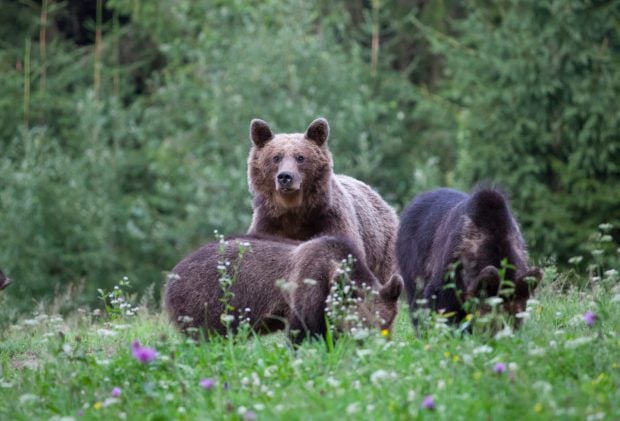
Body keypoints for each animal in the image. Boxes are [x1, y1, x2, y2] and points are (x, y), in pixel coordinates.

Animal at [163, 233, 402, 342]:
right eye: (362, 321)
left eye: (387, 322)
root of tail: (172, 274)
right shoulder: (307, 290)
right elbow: (302, 333)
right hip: (203, 302)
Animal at [246, 116, 398, 284]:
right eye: (276, 157)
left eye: (300, 157)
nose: (285, 177)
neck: (293, 210)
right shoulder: (269, 223)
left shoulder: (330, 221)